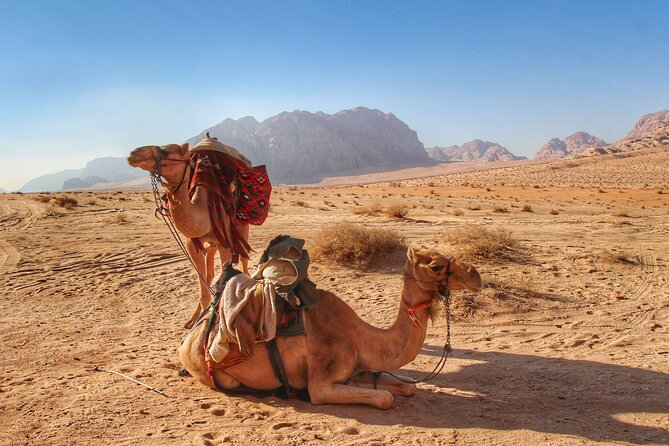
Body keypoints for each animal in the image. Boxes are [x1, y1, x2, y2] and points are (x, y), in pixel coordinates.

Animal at [128, 142, 250, 328]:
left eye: (165, 151)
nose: (134, 153)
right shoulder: (192, 244)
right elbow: (203, 287)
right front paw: (195, 320)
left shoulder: (225, 242)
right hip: (211, 244)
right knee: (209, 272)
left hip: (241, 227)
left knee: (243, 259)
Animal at [178, 248, 482, 409]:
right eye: (435, 265)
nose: (476, 274)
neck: (359, 337)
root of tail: (185, 342)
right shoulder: (322, 383)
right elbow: (384, 397)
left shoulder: (356, 367)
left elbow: (405, 386)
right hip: (215, 372)